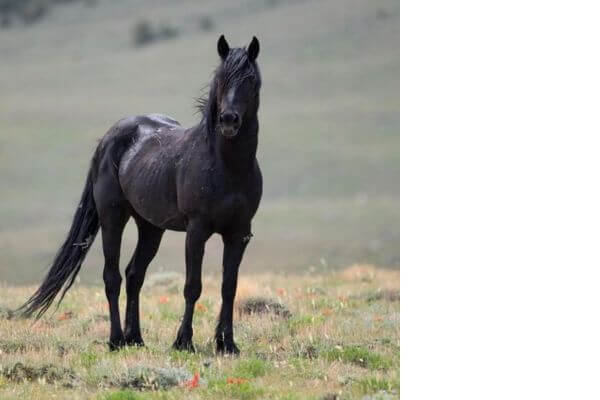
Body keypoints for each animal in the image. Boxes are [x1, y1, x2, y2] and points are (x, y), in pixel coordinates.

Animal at [14, 33, 260, 354]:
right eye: (220, 79)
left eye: (251, 80)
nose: (229, 120)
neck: (227, 167)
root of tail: (108, 138)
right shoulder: (197, 230)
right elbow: (192, 286)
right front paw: (183, 342)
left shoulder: (239, 233)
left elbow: (229, 287)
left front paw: (227, 344)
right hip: (112, 218)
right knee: (113, 277)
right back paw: (117, 339)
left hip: (151, 227)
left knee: (134, 274)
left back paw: (136, 338)